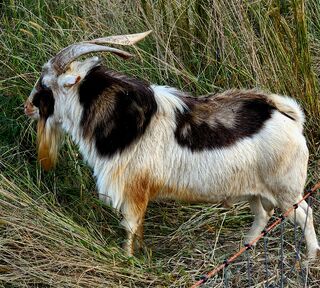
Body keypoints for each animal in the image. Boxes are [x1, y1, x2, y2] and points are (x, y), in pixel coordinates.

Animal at [23, 32, 318, 258]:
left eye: (45, 86)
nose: (27, 107)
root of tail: (290, 117)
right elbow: (137, 230)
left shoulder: (132, 191)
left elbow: (130, 228)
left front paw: (128, 260)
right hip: (255, 190)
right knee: (262, 215)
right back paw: (244, 247)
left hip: (286, 191)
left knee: (305, 213)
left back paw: (309, 258)